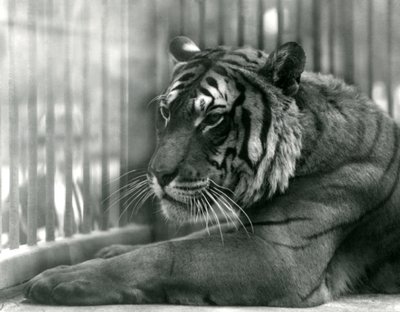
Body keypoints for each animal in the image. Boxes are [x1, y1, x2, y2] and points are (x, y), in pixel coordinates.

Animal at [24, 37, 400, 308]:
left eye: (213, 119)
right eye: (165, 112)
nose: (157, 175)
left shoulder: (280, 256)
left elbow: (169, 255)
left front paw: (61, 279)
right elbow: (185, 238)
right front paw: (109, 251)